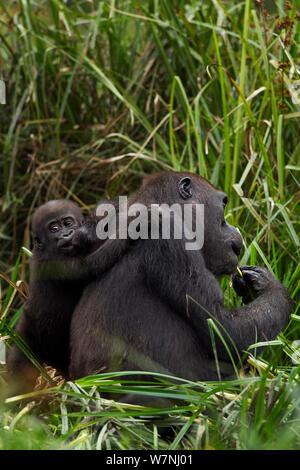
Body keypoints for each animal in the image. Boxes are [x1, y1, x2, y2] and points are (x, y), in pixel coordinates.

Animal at [68, 173, 290, 382]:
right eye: (223, 205)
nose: (236, 233)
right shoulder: (171, 233)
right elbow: (227, 333)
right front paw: (271, 287)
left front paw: (253, 284)